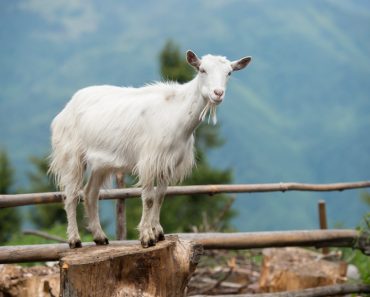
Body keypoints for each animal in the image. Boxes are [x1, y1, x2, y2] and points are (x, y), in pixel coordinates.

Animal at [49, 49, 250, 246]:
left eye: (229, 73)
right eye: (202, 70)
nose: (218, 93)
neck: (177, 113)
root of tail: (66, 108)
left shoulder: (168, 163)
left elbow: (160, 196)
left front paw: (158, 232)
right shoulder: (148, 161)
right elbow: (149, 198)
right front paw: (147, 237)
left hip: (101, 163)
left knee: (90, 193)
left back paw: (100, 237)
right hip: (71, 154)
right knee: (71, 194)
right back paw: (74, 240)